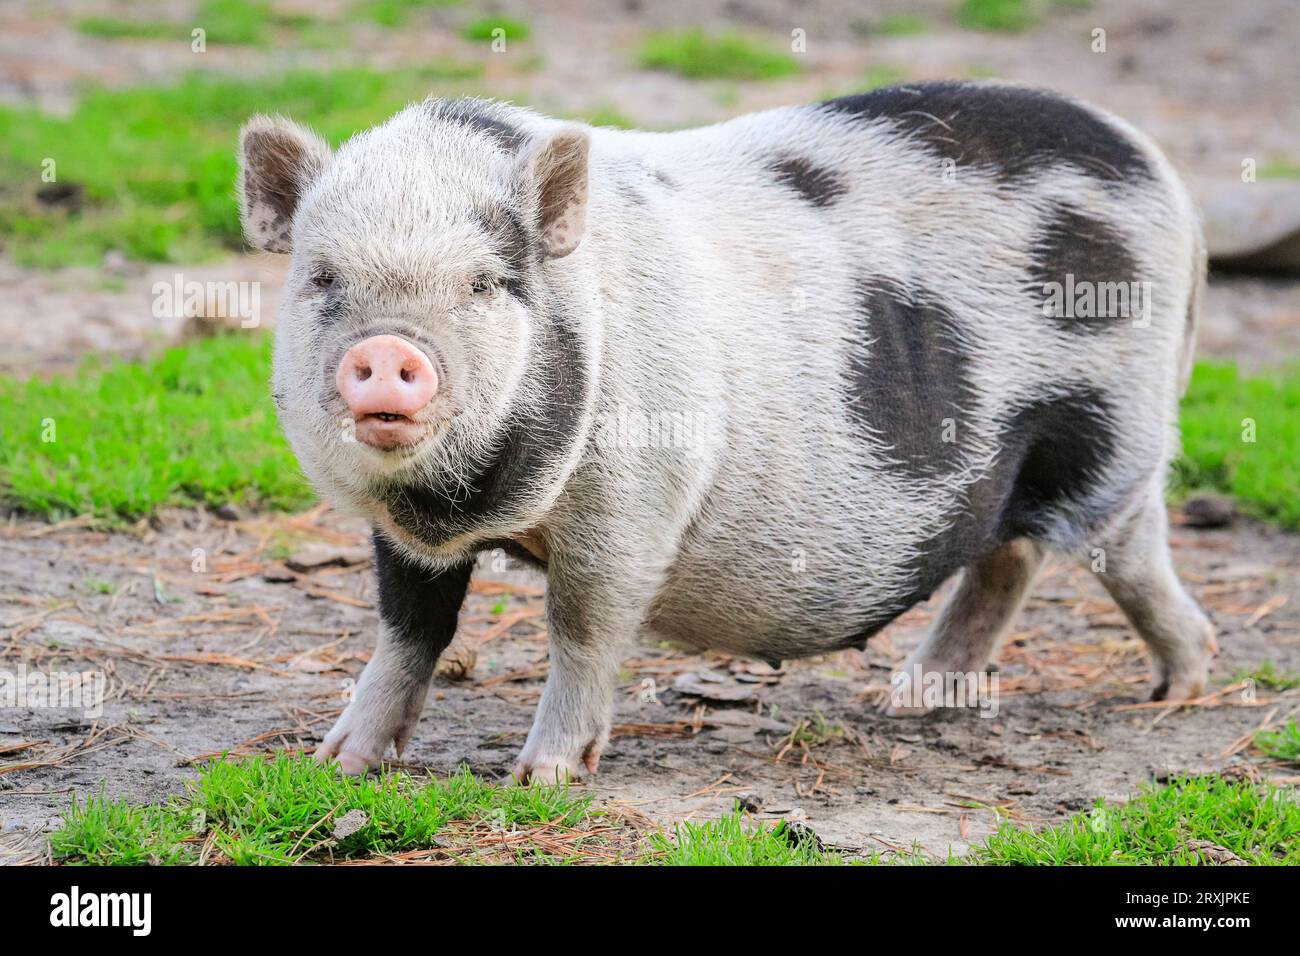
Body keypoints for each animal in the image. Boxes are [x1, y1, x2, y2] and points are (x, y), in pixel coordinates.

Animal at [241, 82, 1216, 785]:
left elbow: (582, 627)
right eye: (322, 277)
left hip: (1110, 434)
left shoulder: (632, 505)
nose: (386, 353)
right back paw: (909, 703)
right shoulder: (400, 533)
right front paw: (334, 765)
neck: (469, 506)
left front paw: (540, 780)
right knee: (1008, 557)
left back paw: (1181, 687)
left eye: (484, 283)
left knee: (1123, 550)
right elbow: (408, 630)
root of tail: (1157, 171)